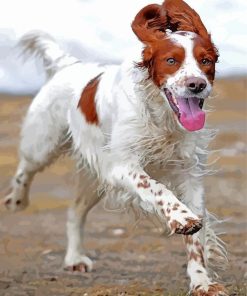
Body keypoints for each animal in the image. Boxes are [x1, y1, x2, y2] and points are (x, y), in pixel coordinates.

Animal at [3, 0, 228, 294]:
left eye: (206, 61)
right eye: (171, 61)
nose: (197, 85)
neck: (162, 116)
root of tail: (68, 65)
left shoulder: (189, 174)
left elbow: (196, 241)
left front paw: (202, 282)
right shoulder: (121, 166)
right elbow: (157, 187)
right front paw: (181, 218)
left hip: (94, 176)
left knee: (75, 211)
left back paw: (74, 258)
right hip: (43, 143)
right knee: (25, 169)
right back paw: (16, 200)